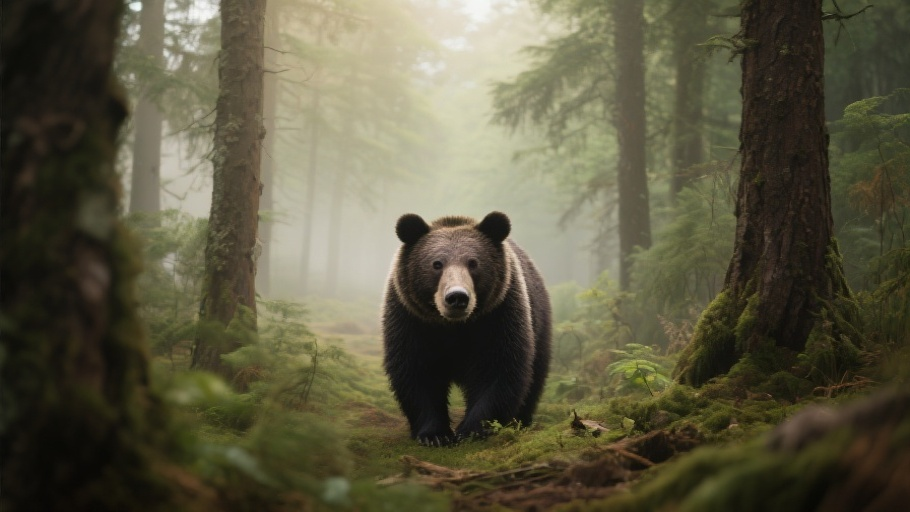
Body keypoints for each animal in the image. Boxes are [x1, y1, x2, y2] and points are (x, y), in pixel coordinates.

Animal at [381, 211, 552, 446]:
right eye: (436, 264)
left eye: (473, 263)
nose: (457, 297)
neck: (454, 327)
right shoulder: (411, 319)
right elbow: (416, 370)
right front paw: (434, 434)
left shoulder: (498, 316)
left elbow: (498, 369)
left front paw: (472, 429)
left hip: (539, 324)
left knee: (535, 377)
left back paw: (521, 421)